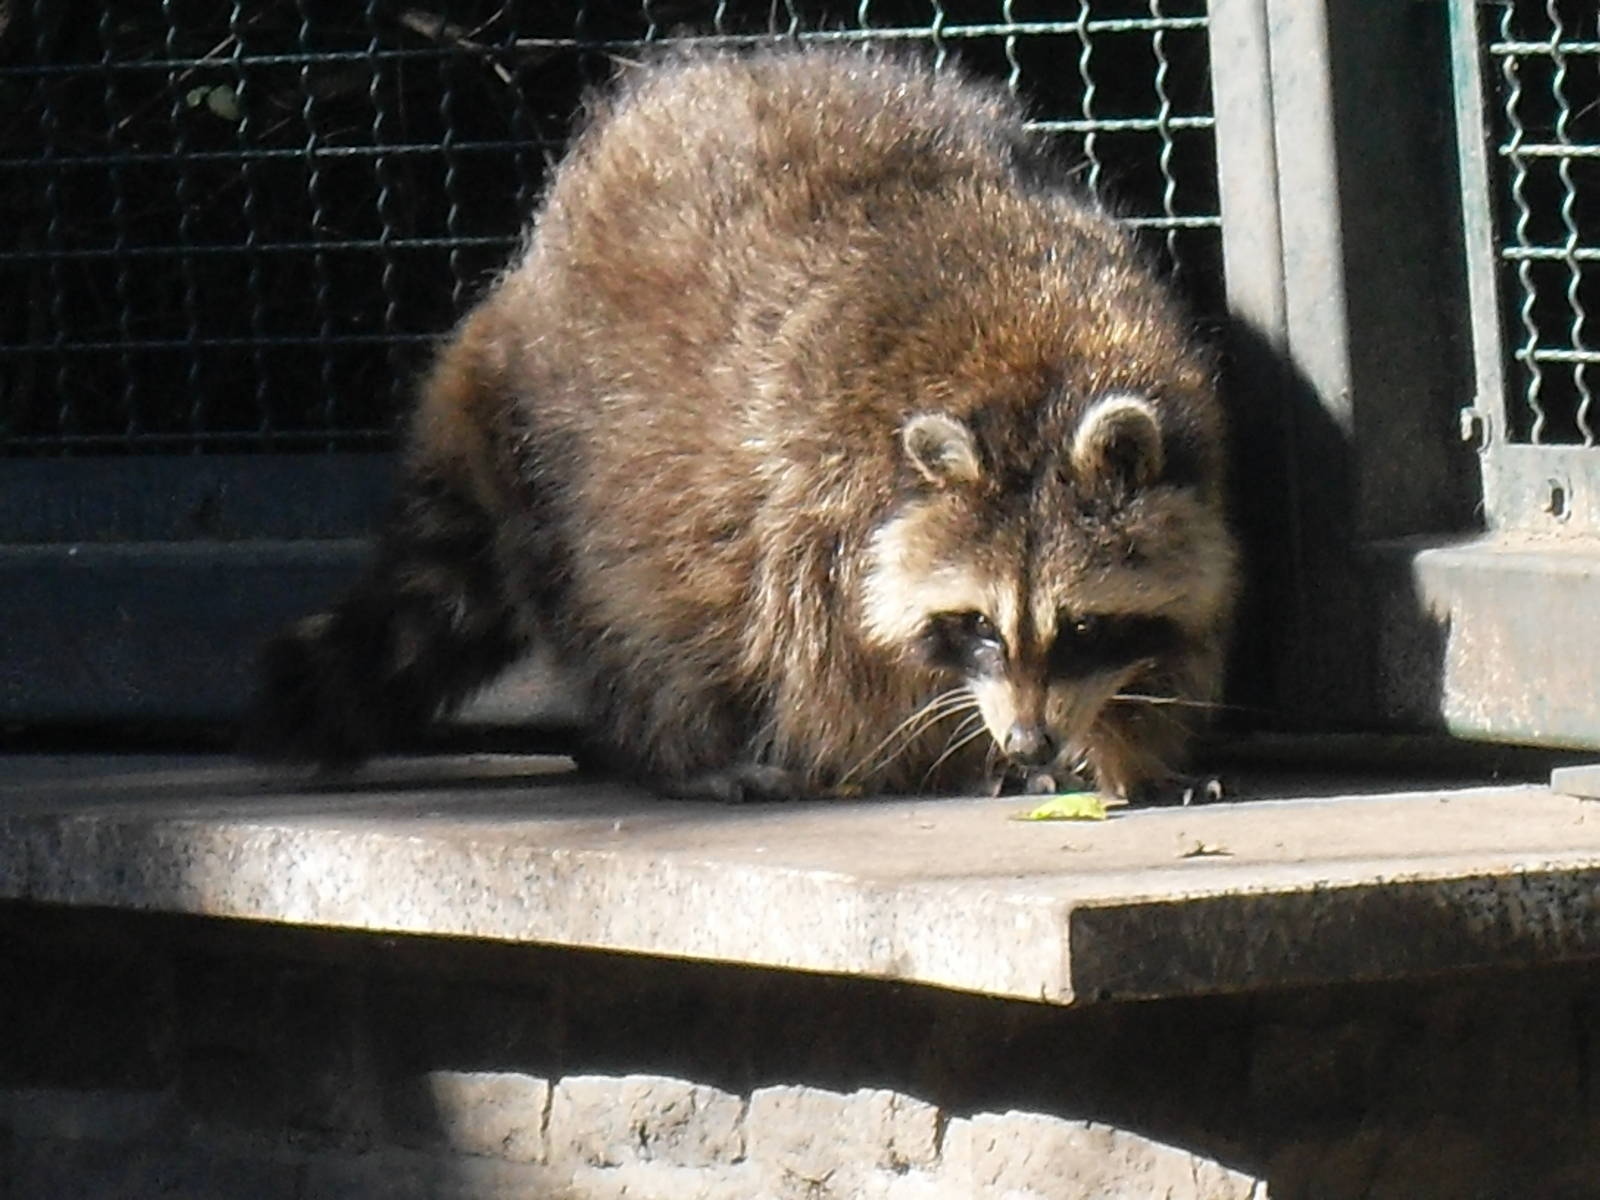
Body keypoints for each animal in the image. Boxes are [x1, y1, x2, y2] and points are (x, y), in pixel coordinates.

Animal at [248, 46, 1238, 802]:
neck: (1033, 383)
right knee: (644, 607)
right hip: (586, 452)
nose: (1029, 740)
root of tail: (517, 290)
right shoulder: (822, 497)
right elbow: (837, 664)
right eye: (979, 625)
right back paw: (684, 752)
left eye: (1082, 627)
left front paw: (1126, 742)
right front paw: (953, 755)